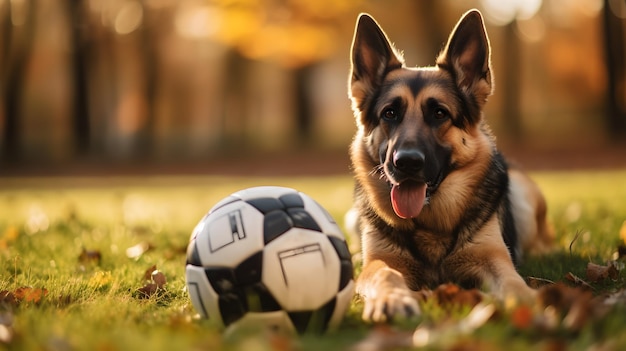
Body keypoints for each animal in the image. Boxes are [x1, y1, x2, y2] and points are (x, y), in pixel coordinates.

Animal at [346, 8, 552, 322]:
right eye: (390, 113)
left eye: (439, 113)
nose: (406, 162)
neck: (430, 225)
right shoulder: (379, 262)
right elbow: (385, 274)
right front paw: (392, 299)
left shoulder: (492, 258)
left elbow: (512, 281)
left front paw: (529, 304)